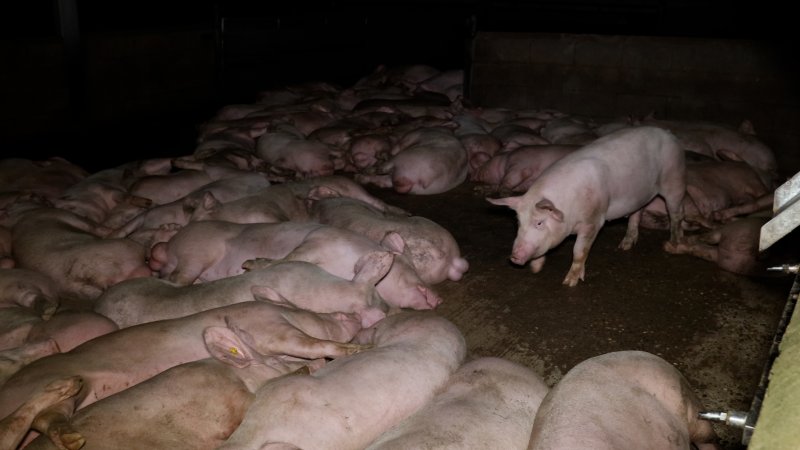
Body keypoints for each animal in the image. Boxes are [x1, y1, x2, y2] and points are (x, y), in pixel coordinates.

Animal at [0, 298, 366, 450]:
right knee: (45, 416)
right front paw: (355, 350)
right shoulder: (269, 326)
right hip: (51, 383)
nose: (353, 315)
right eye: (316, 311)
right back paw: (74, 440)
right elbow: (309, 343)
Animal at [488, 125, 688, 286]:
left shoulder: (594, 221)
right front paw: (536, 269)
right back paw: (624, 246)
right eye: (518, 222)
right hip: (640, 194)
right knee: (637, 213)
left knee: (677, 213)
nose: (514, 257)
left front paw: (569, 282)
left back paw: (674, 243)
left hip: (674, 178)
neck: (569, 210)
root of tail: (668, 133)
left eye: (539, 223)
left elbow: (579, 251)